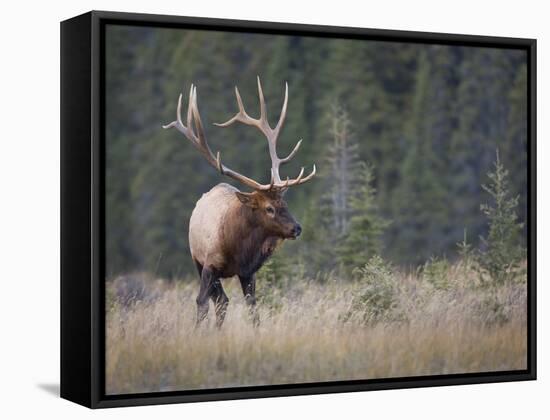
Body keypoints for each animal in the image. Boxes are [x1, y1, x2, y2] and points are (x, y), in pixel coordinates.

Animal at [164, 78, 316, 328]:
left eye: (285, 204)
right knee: (218, 301)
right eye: (269, 208)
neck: (238, 248)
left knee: (223, 301)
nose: (297, 228)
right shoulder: (209, 265)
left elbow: (253, 309)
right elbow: (201, 303)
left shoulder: (248, 272)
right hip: (198, 261)